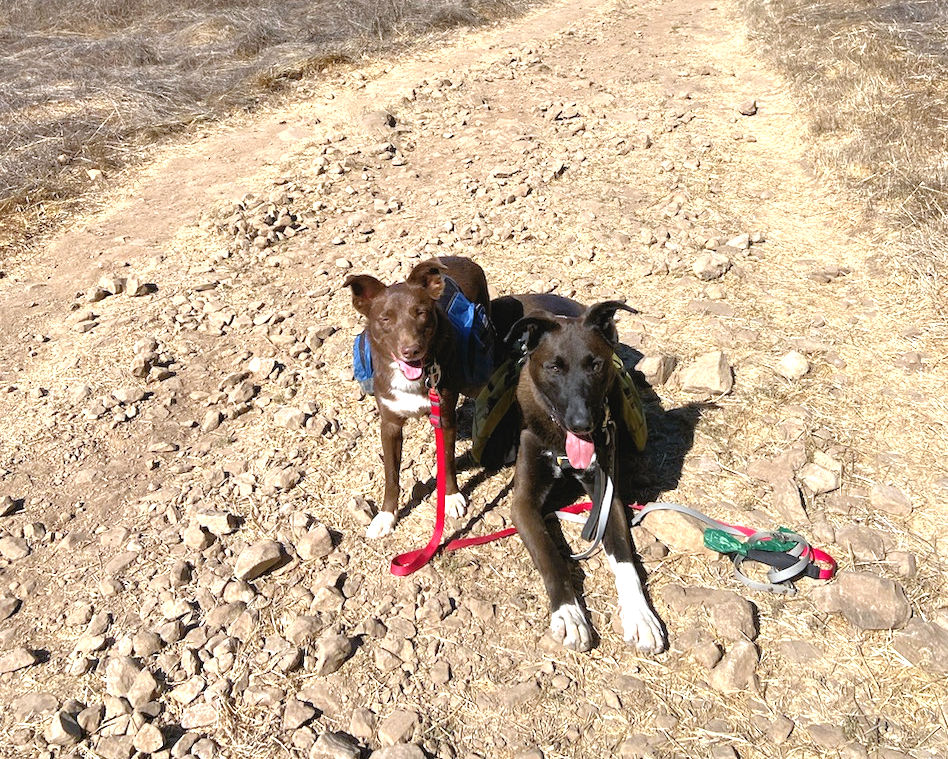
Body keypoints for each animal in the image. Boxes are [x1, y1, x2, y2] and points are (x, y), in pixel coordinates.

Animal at [344, 256, 491, 539]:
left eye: (421, 313)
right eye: (385, 318)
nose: (411, 350)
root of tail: (462, 259)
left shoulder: (444, 416)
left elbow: (447, 461)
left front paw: (452, 497)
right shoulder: (389, 424)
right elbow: (391, 475)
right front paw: (386, 515)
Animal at [492, 293, 666, 653]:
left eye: (595, 365)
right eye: (554, 367)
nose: (581, 423)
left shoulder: (607, 496)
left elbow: (625, 559)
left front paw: (640, 614)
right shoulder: (523, 503)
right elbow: (551, 557)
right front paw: (568, 613)